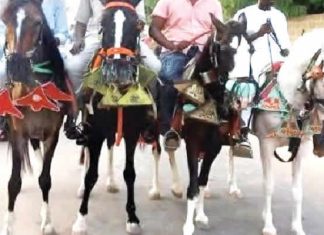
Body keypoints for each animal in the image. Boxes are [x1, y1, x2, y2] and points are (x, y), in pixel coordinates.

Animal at [0, 0, 73, 234]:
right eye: (5, 19)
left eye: (38, 22)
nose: (16, 66)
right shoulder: (17, 134)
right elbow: (13, 182)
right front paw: (8, 225)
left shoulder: (52, 135)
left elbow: (45, 179)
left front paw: (47, 222)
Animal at [72, 0, 161, 233]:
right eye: (102, 24)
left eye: (139, 25)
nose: (118, 70)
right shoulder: (94, 132)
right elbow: (90, 175)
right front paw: (81, 219)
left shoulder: (132, 132)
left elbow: (129, 173)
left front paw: (132, 217)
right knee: (87, 156)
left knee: (115, 146)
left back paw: (114, 183)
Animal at [253, 28, 324, 235]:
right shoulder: (266, 144)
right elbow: (268, 185)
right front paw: (268, 225)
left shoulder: (301, 148)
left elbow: (297, 191)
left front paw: (297, 227)